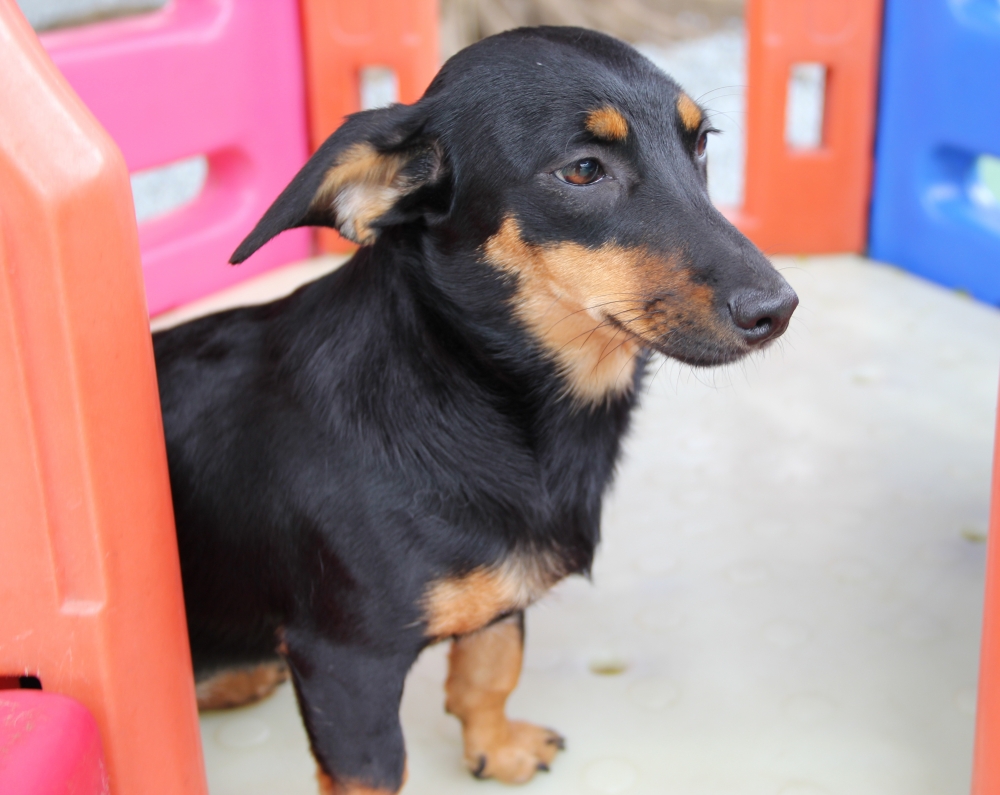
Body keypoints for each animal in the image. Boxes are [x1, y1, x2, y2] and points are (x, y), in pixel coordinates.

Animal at [154, 24, 796, 795]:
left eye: (701, 144)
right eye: (583, 170)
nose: (779, 309)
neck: (466, 380)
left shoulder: (501, 592)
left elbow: (490, 669)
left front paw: (498, 748)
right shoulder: (346, 663)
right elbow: (379, 769)